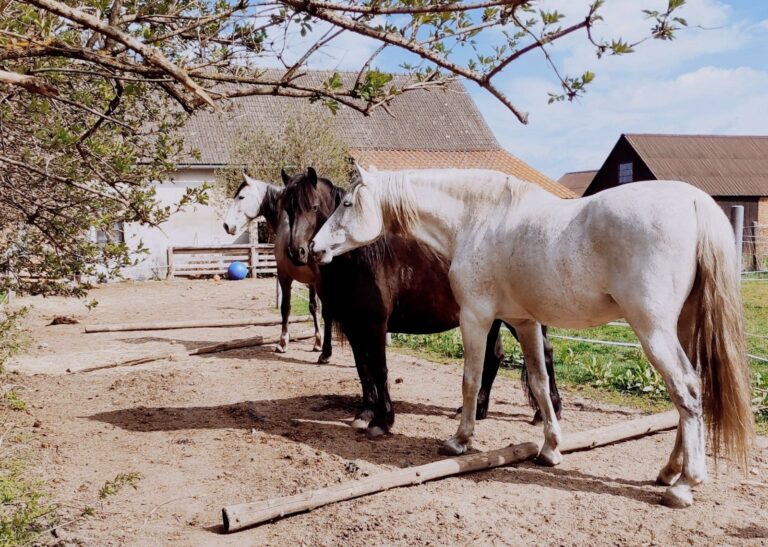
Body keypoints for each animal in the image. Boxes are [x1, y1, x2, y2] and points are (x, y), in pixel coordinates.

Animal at [280, 167, 560, 436]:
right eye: (287, 208)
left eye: (314, 206)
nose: (298, 252)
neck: (360, 261)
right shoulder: (353, 326)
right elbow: (363, 368)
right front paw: (365, 413)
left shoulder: (374, 325)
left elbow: (379, 369)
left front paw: (383, 421)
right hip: (490, 319)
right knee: (494, 357)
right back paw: (477, 410)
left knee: (544, 353)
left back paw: (544, 412)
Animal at [308, 166, 752, 510]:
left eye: (347, 204)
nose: (314, 248)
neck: (477, 219)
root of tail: (695, 203)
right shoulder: (524, 322)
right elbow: (539, 383)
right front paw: (550, 448)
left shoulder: (476, 318)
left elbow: (470, 381)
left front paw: (460, 440)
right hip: (683, 327)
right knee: (686, 396)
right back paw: (668, 471)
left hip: (653, 330)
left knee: (687, 390)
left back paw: (685, 484)